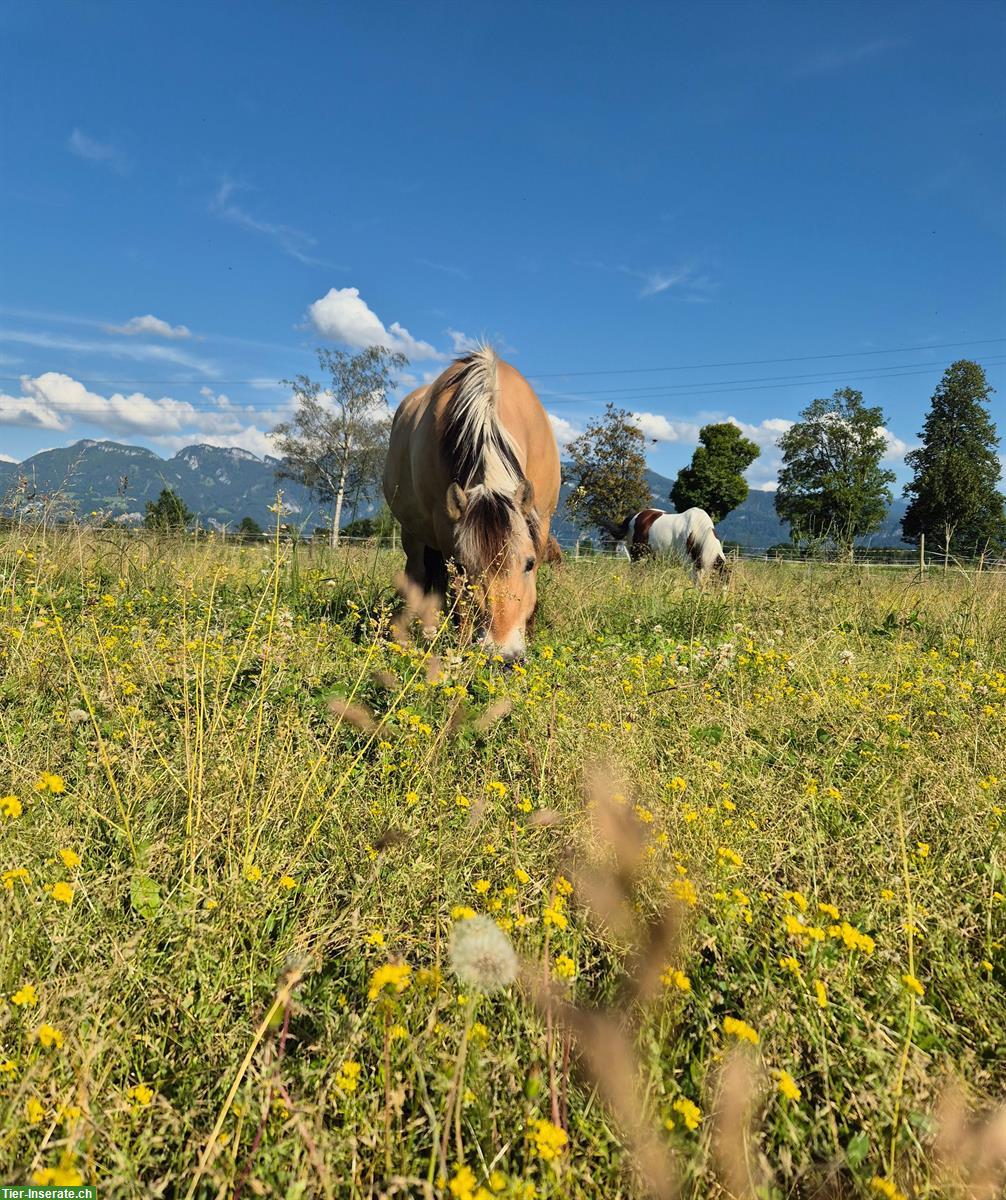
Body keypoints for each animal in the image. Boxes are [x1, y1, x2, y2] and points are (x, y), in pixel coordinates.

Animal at [381, 348, 564, 662]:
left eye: (529, 564)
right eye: (464, 567)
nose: (505, 656)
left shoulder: (541, 522)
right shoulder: (445, 530)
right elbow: (458, 597)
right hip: (412, 534)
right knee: (420, 575)